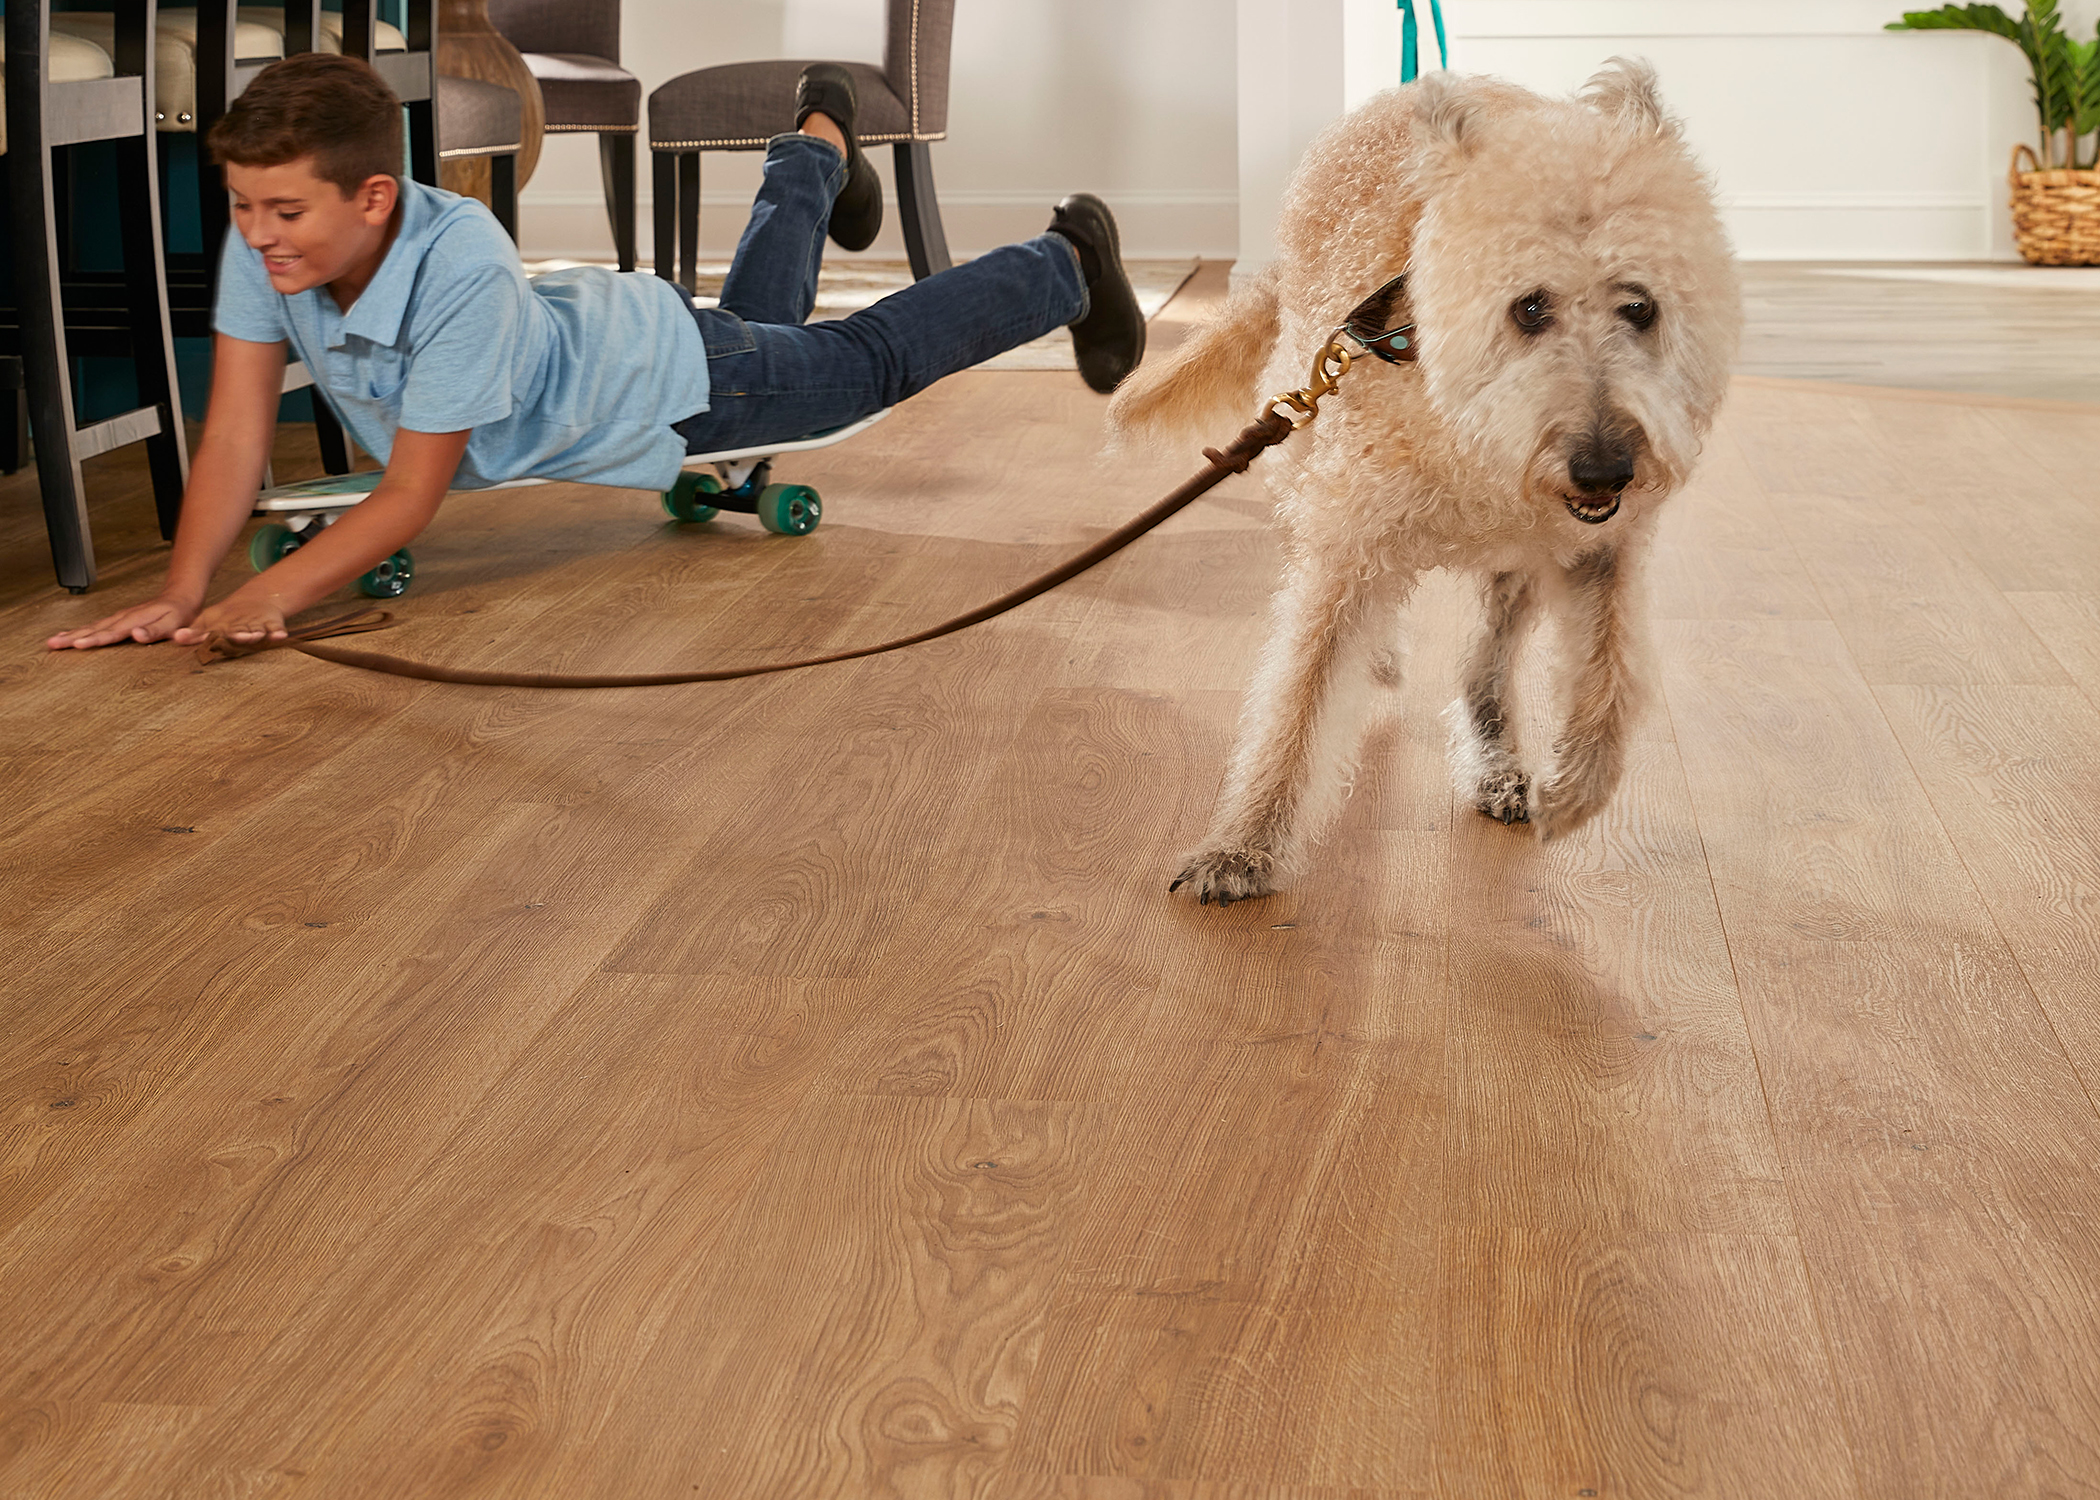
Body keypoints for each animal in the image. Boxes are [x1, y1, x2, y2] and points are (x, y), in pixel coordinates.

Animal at [1117, 61, 1738, 899]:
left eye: (1639, 307)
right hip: (1301, 445)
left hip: (1517, 565)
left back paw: (1496, 760)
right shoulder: (1347, 544)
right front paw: (1243, 844)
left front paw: (1574, 790)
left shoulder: (1598, 551)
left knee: (1486, 664)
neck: (1465, 428)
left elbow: (1612, 679)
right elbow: (1298, 697)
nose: (1606, 467)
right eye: (1529, 307)